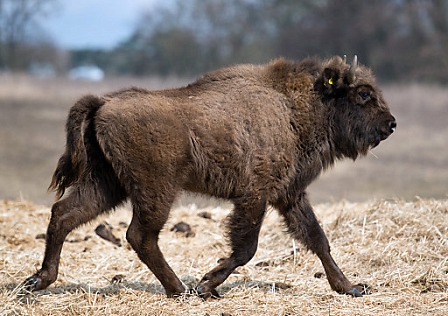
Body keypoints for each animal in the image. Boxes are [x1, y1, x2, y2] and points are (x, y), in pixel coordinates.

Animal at [23, 55, 396, 298]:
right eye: (363, 94)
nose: (390, 124)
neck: (292, 107)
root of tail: (103, 103)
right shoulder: (255, 196)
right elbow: (246, 248)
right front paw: (206, 284)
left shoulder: (289, 196)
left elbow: (317, 239)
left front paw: (350, 287)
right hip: (156, 190)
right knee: (140, 235)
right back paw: (180, 289)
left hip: (107, 184)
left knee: (64, 214)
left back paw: (38, 280)